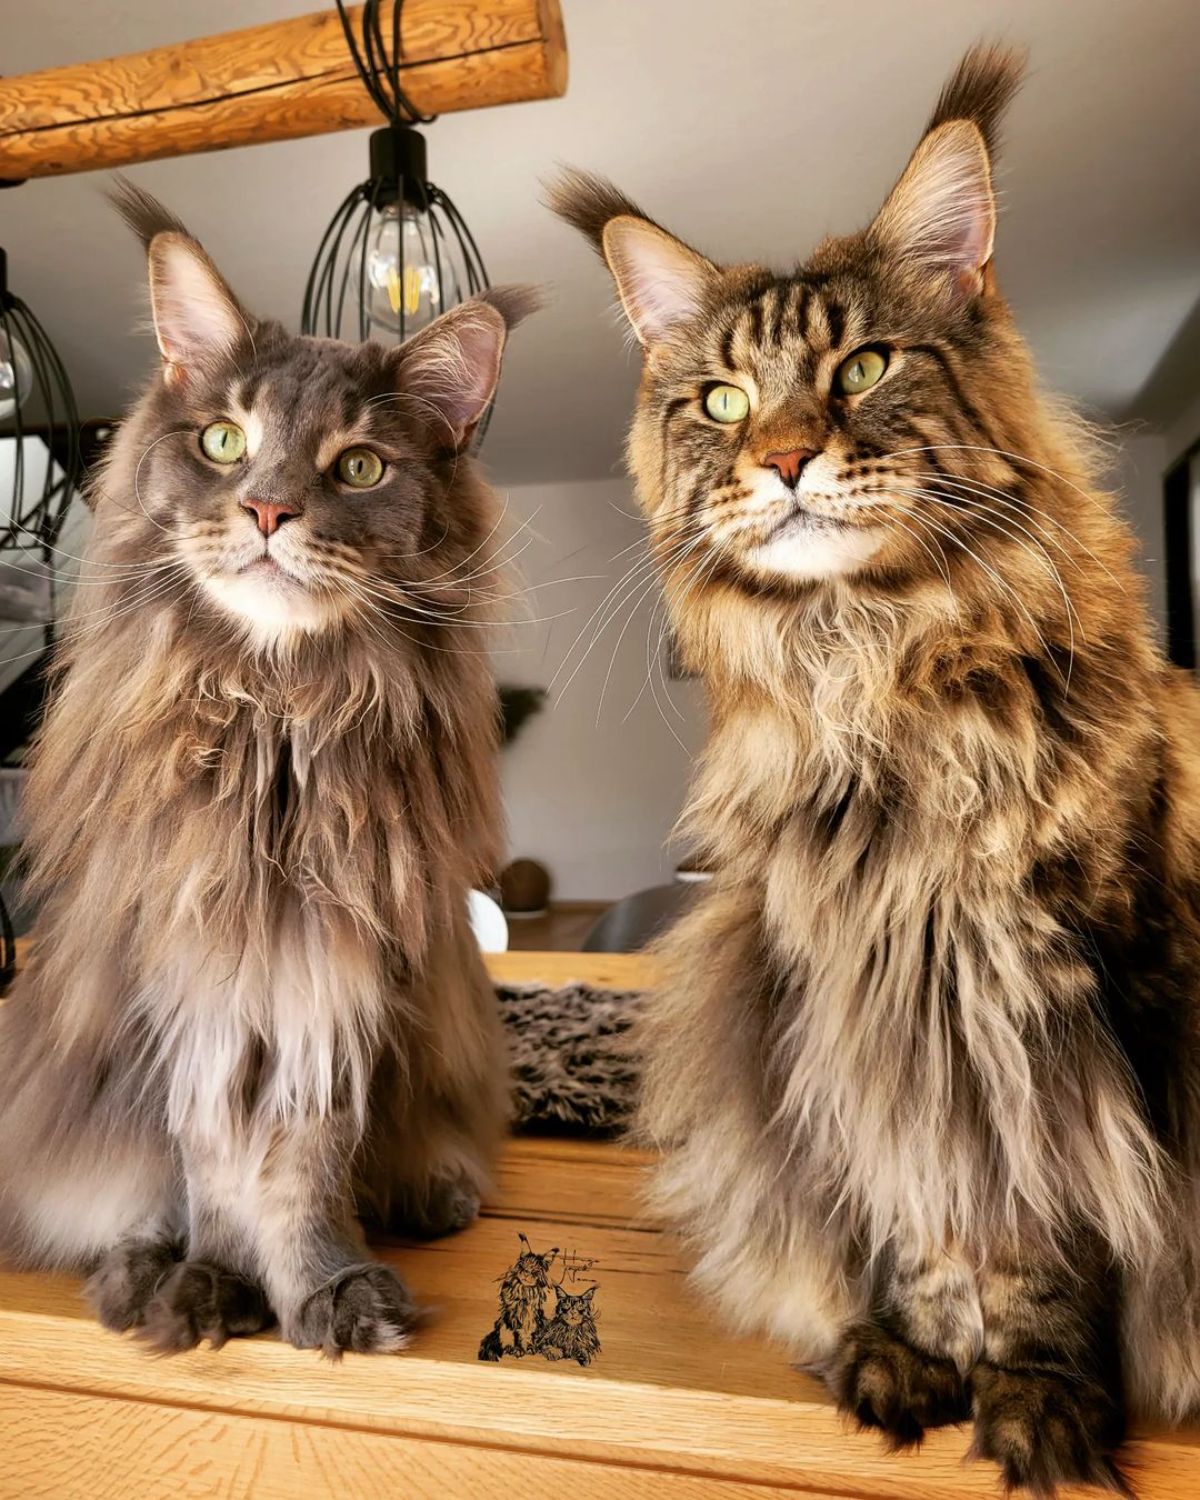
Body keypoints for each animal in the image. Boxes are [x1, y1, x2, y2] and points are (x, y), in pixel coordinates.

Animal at [0, 187, 534, 1362]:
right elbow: (207, 1164)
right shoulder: (187, 978)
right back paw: (141, 1273)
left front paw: (325, 1288)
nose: (268, 511)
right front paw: (212, 1283)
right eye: (223, 440)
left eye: (360, 467)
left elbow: (304, 1162)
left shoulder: (339, 976)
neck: (276, 724)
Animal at [552, 41, 1200, 1494]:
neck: (869, 670)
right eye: (723, 400)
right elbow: (913, 1218)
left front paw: (1036, 1397)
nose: (787, 457)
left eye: (861, 368)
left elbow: (1040, 1240)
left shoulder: (1042, 1009)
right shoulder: (840, 1008)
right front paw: (910, 1353)